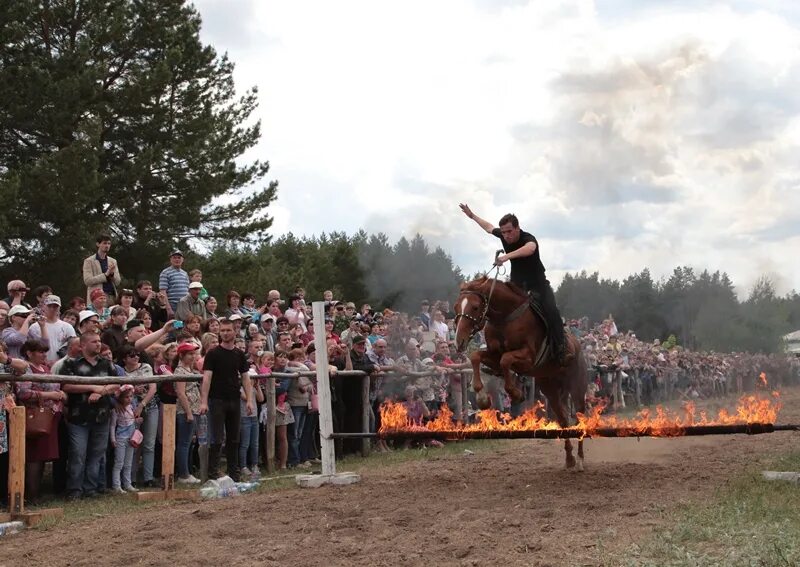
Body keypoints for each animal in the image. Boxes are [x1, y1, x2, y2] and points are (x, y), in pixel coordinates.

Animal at [456, 278, 588, 472]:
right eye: (456, 306)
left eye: (474, 307)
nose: (459, 340)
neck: (505, 318)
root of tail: (578, 347)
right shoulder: (493, 356)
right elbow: (476, 356)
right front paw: (482, 397)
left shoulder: (528, 357)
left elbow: (506, 360)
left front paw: (515, 393)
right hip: (551, 390)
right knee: (563, 420)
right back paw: (570, 459)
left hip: (577, 388)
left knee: (580, 418)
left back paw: (579, 459)